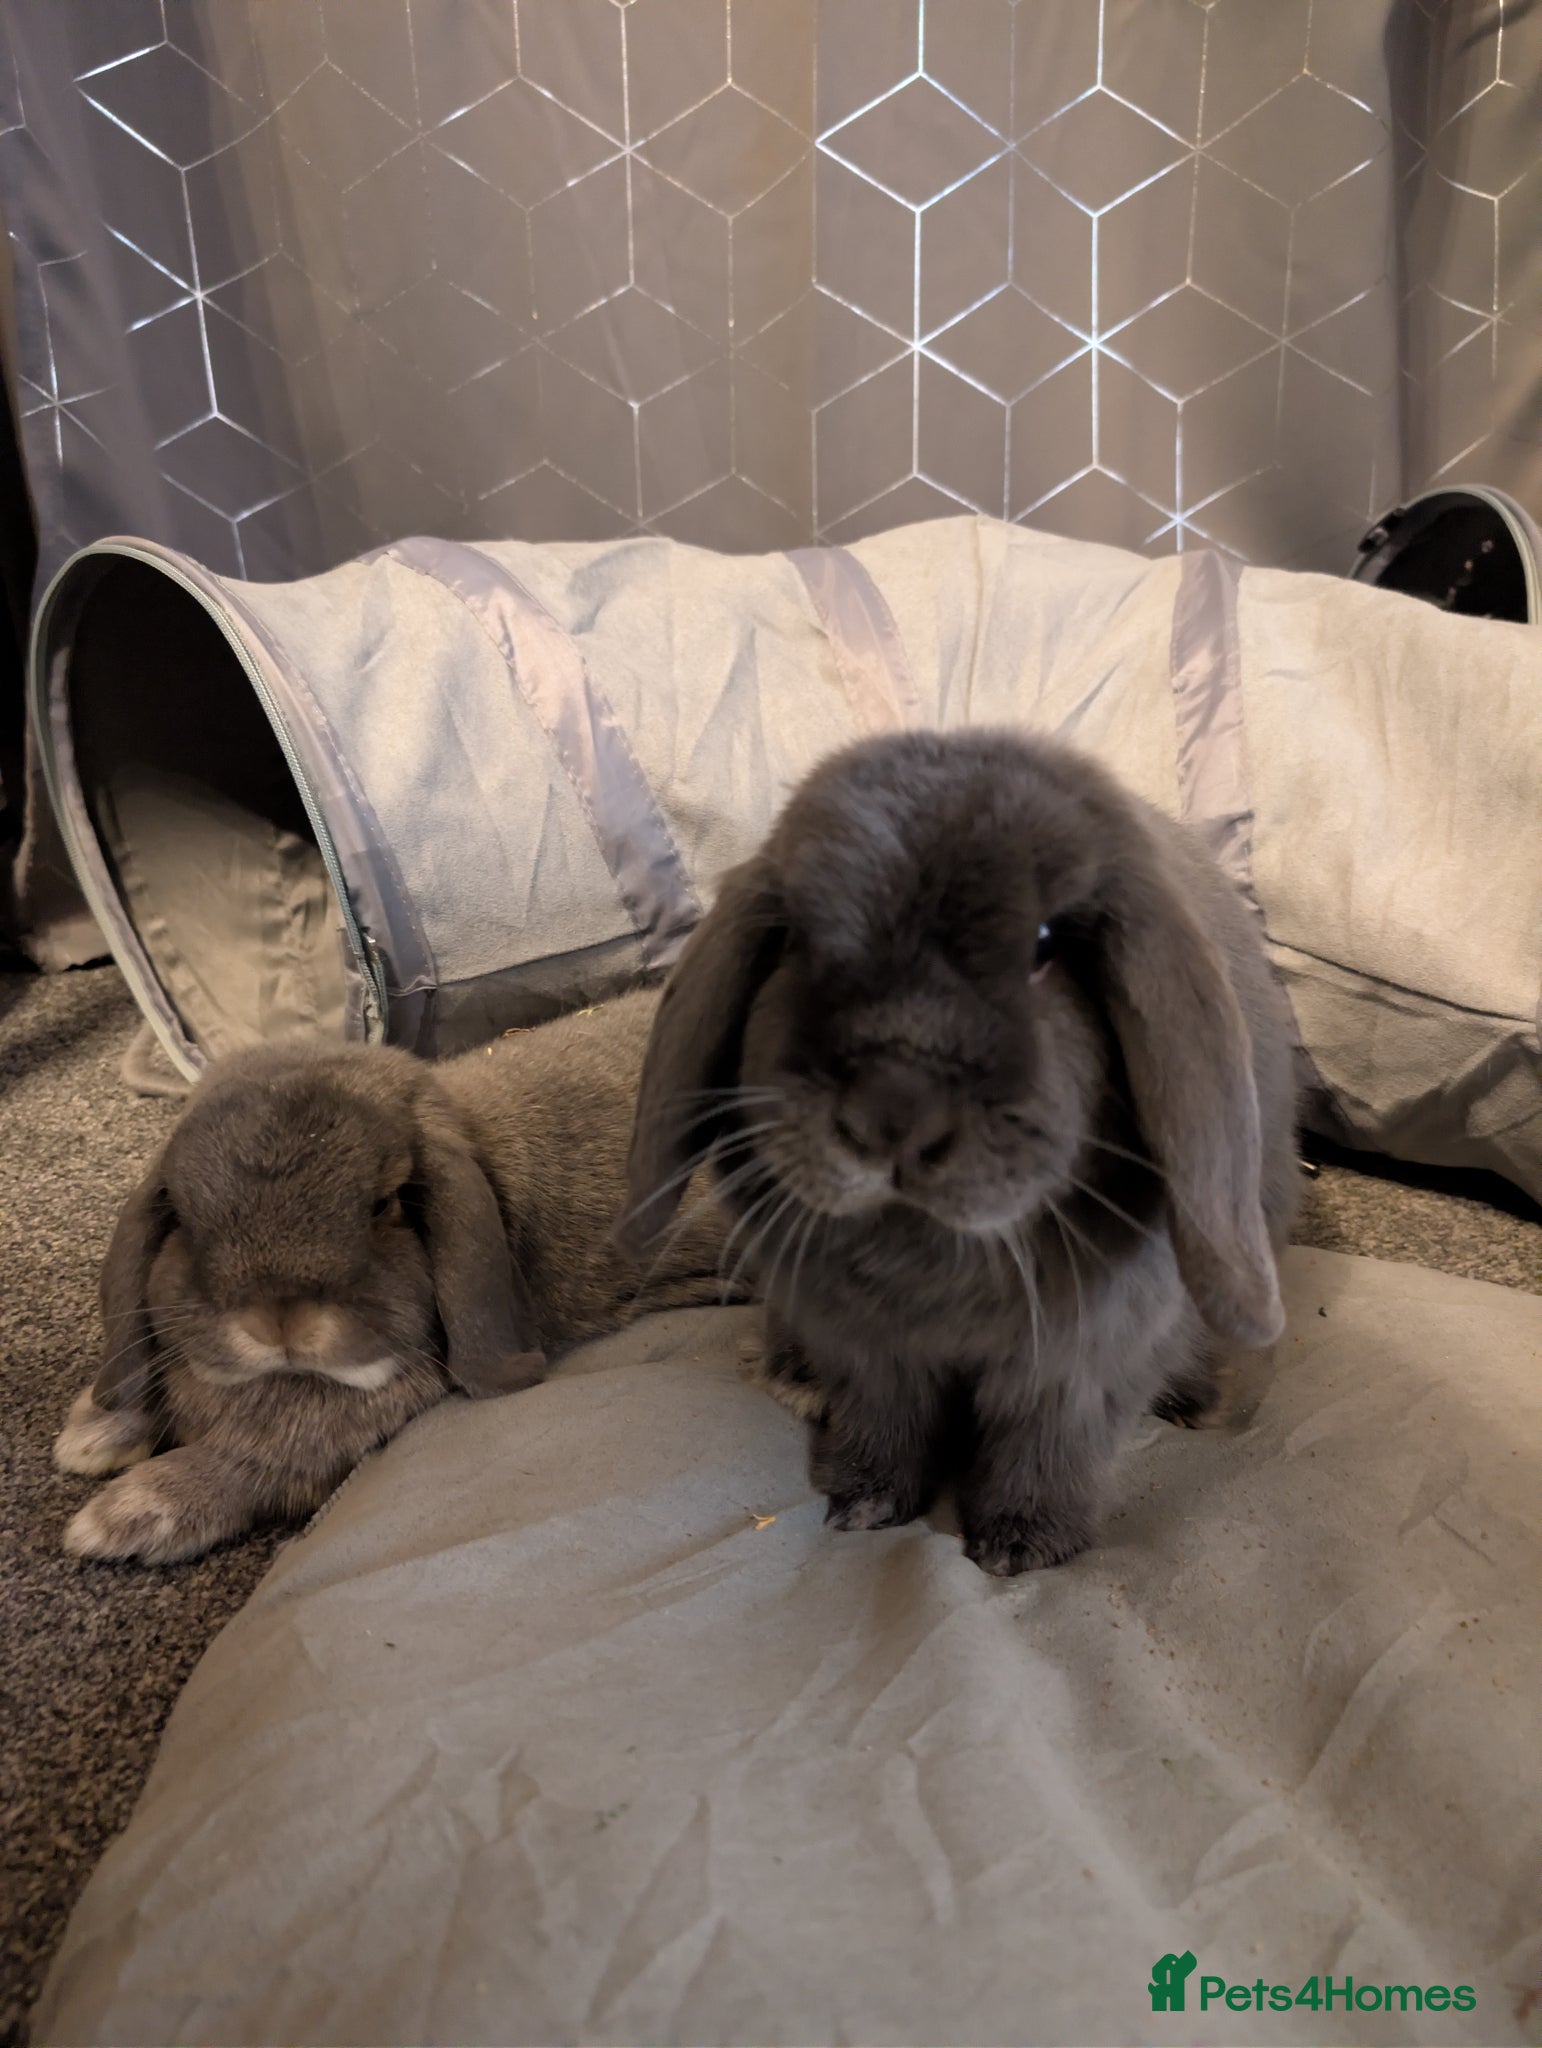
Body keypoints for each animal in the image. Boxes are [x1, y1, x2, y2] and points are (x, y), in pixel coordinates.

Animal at [55, 991, 735, 1565]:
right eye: (185, 1216)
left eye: (382, 1204)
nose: (277, 1318)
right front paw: (91, 1431)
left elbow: (267, 1457)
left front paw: (126, 1516)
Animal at [620, 728, 1301, 1576]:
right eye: (801, 939)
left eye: (1041, 944)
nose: (889, 1114)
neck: (931, 1255)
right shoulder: (869, 1352)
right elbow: (885, 1424)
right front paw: (863, 1503)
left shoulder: (1080, 1372)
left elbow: (1048, 1449)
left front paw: (1020, 1547)